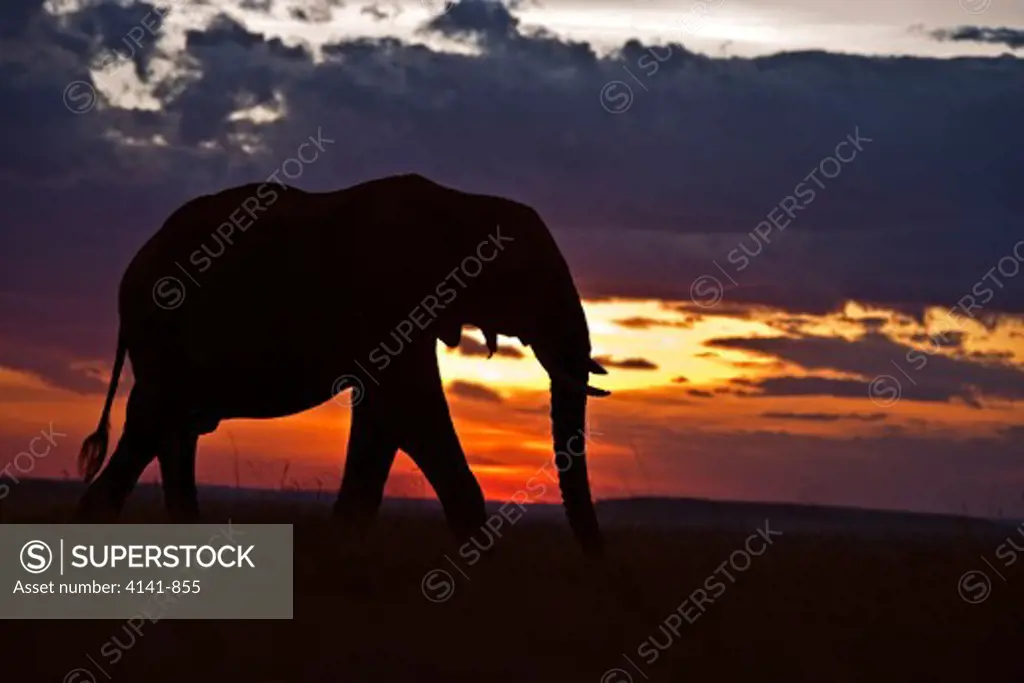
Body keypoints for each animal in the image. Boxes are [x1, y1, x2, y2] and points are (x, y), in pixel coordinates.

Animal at [77, 174, 614, 552]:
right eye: (527, 278)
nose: (597, 561)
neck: (466, 203)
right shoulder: (394, 296)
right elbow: (411, 411)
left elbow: (382, 419)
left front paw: (343, 542)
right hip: (163, 332)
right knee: (156, 423)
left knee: (171, 430)